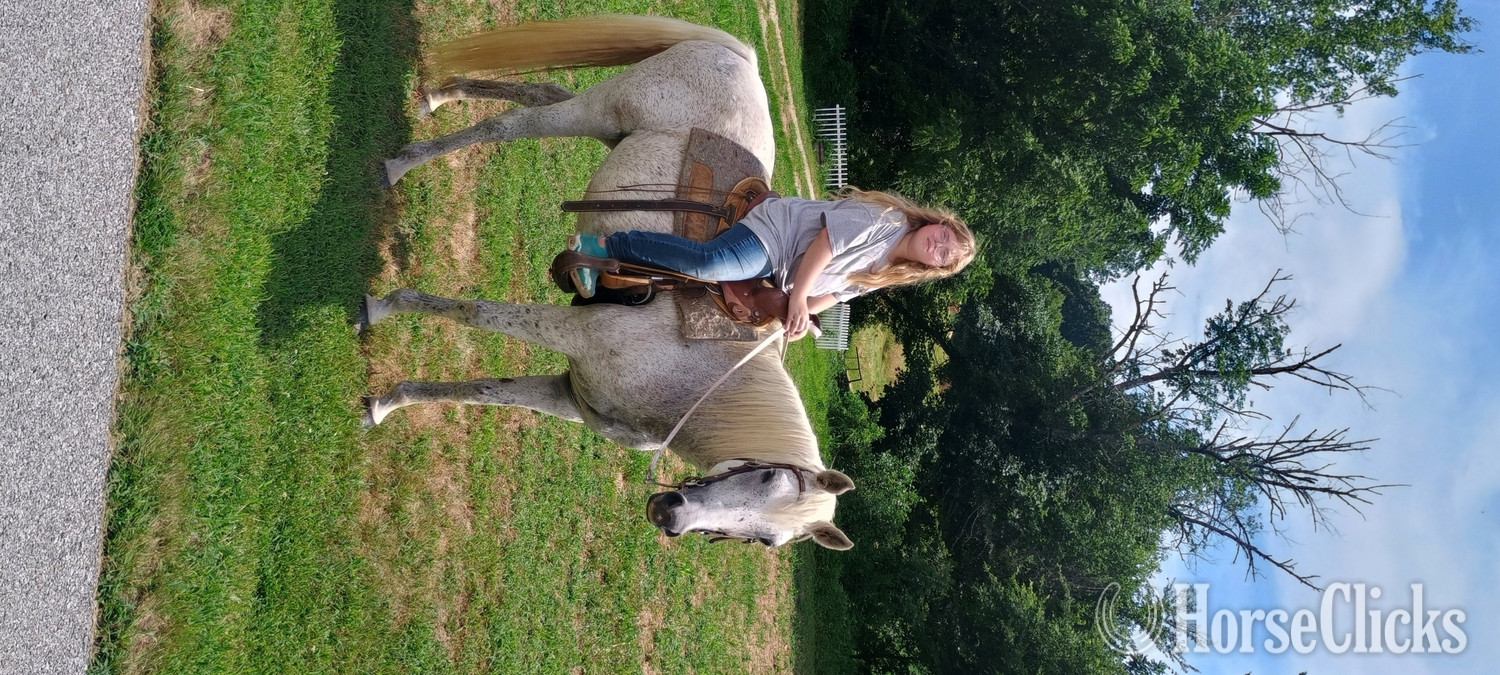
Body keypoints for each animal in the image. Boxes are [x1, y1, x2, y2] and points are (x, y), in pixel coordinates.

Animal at [365, 15, 854, 550]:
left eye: (764, 541)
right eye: (766, 476)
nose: (669, 513)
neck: (693, 380)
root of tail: (743, 59)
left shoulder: (569, 396)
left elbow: (484, 390)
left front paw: (388, 404)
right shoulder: (574, 333)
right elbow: (475, 312)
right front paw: (382, 308)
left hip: (608, 128)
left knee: (540, 92)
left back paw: (439, 97)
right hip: (599, 108)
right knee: (508, 124)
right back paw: (402, 162)